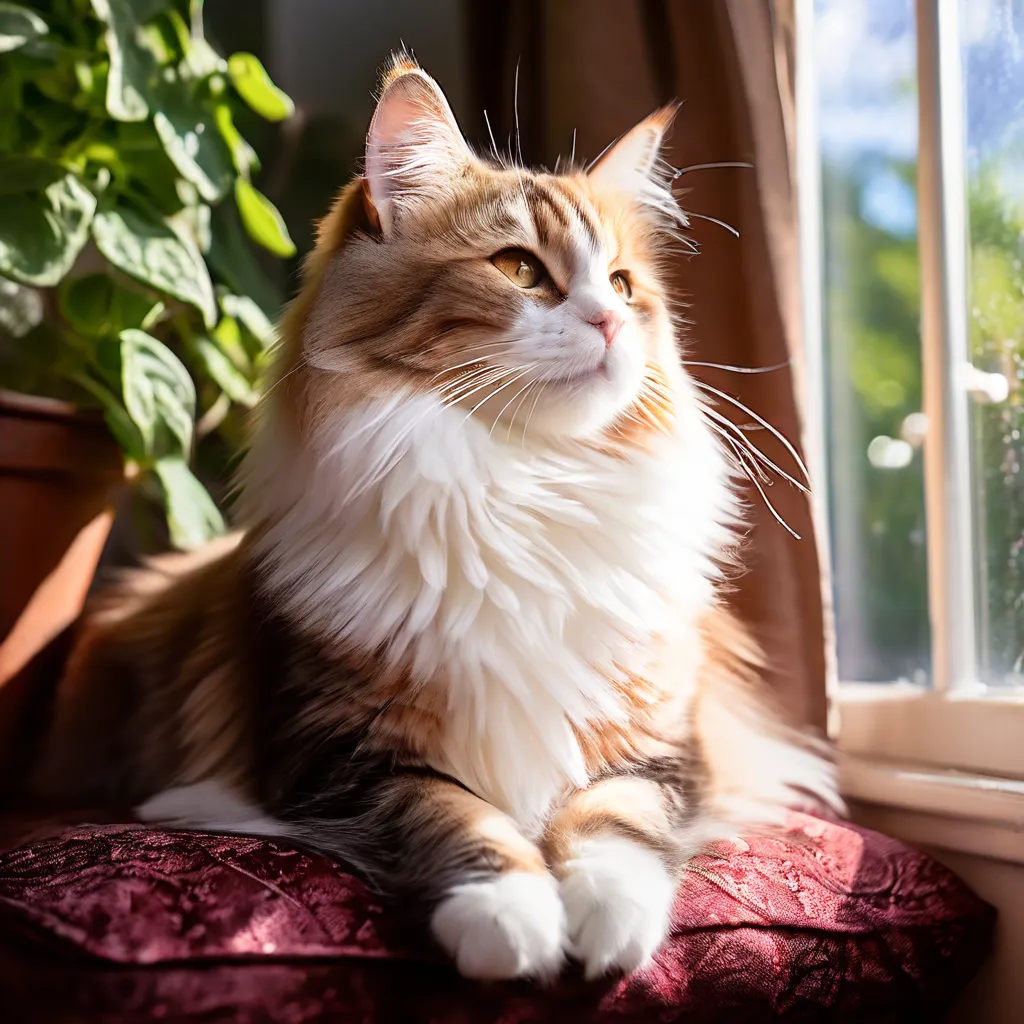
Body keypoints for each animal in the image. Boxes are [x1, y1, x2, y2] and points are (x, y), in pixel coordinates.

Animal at [36, 56, 843, 983]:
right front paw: (510, 915)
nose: (610, 321)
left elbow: (614, 818)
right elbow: (454, 816)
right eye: (522, 270)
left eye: (624, 286)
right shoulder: (346, 749)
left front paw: (608, 921)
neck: (522, 484)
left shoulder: (662, 747)